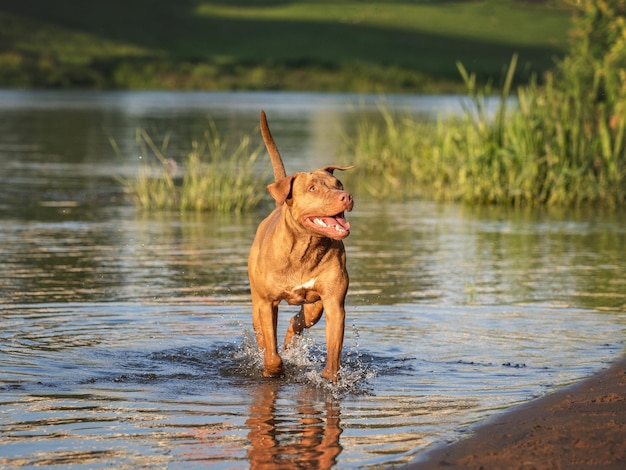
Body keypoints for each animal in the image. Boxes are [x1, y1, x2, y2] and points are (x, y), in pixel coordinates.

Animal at [250, 111, 356, 382]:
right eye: (312, 188)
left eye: (339, 184)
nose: (347, 196)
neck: (304, 248)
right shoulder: (267, 303)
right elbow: (271, 350)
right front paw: (273, 368)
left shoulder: (334, 304)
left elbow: (334, 351)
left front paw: (329, 378)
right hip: (256, 301)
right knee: (261, 332)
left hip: (314, 307)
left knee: (299, 320)